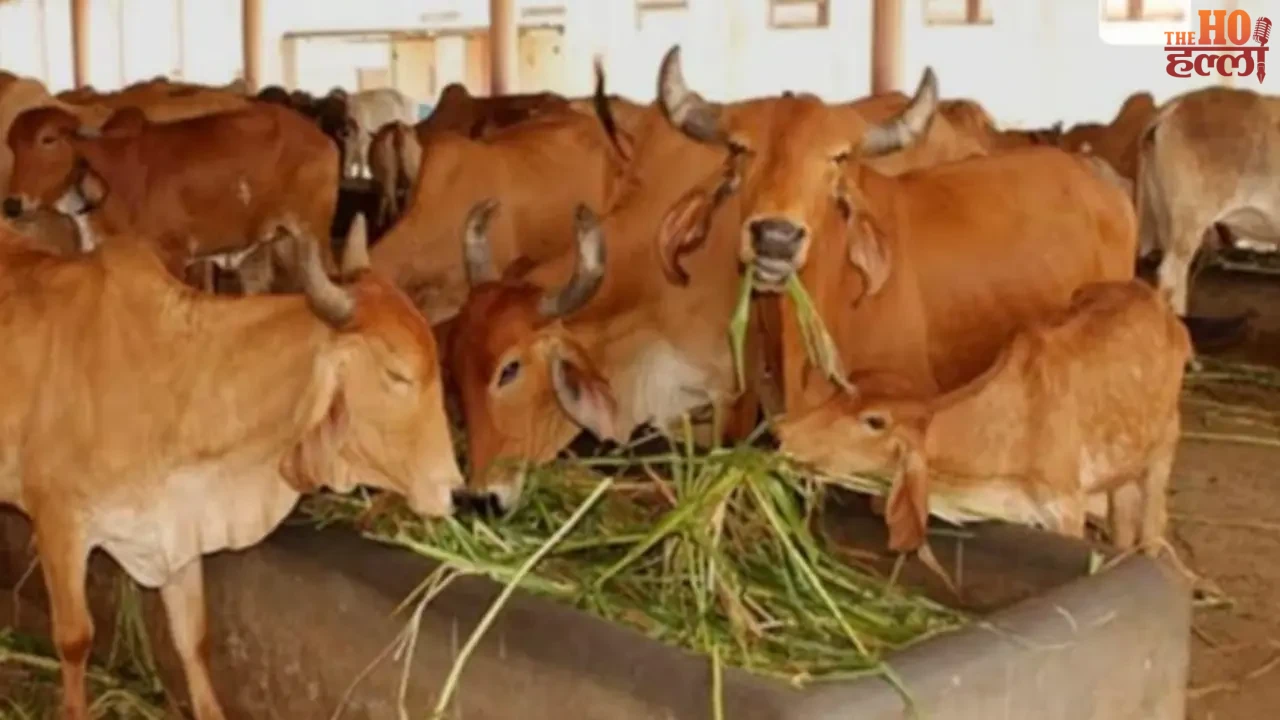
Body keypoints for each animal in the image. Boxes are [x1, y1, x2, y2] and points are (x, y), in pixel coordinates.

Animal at [0, 215, 462, 720]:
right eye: (397, 374)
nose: (454, 488)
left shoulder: (177, 530)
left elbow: (193, 639)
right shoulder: (59, 522)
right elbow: (75, 640)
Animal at [3, 102, 339, 294]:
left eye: (48, 139)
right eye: (11, 145)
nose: (12, 204)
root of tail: (321, 137)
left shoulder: (172, 257)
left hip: (314, 235)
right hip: (276, 242)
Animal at [775, 280, 1187, 557]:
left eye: (875, 421)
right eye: (840, 391)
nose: (782, 432)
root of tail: (1159, 302)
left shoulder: (1065, 507)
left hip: (1164, 447)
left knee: (1153, 525)